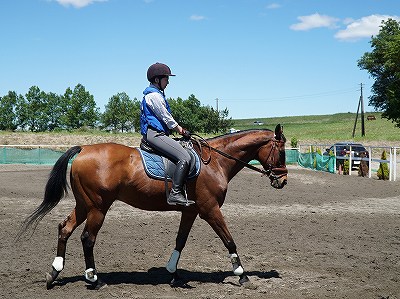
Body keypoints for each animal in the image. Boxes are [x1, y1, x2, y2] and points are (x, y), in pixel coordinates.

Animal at [18, 124, 288, 290]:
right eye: (282, 152)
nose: (283, 181)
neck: (215, 162)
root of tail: (83, 149)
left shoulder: (191, 211)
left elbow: (181, 240)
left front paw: (173, 272)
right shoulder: (210, 210)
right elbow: (229, 240)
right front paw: (242, 275)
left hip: (84, 205)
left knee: (65, 228)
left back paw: (54, 272)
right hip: (98, 208)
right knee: (87, 238)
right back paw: (94, 279)